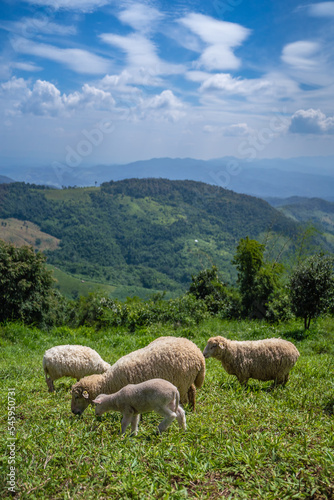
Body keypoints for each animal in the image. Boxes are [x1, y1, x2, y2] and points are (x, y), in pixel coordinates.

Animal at [72, 336, 205, 414]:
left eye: (77, 397)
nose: (73, 412)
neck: (109, 382)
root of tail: (198, 353)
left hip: (182, 382)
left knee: (184, 399)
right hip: (188, 380)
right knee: (192, 391)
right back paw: (192, 410)